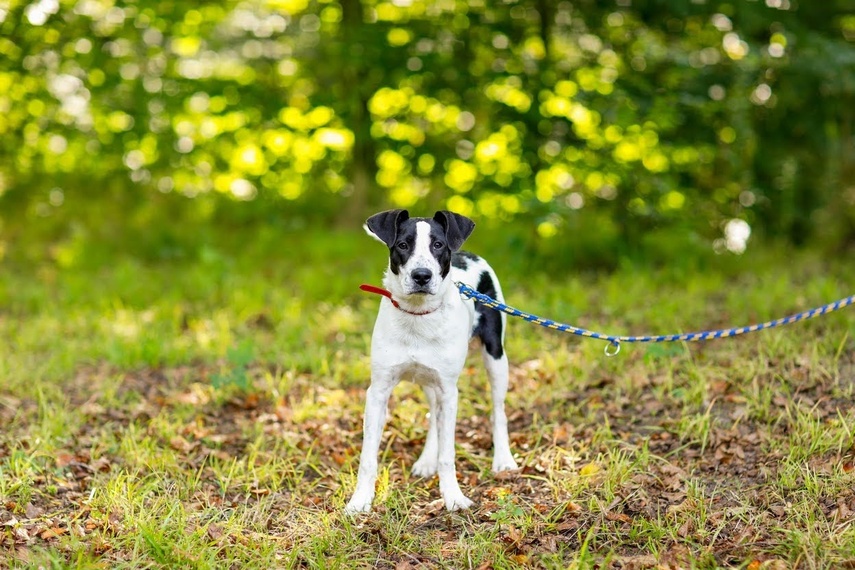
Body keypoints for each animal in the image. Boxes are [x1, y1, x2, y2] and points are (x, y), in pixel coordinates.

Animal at [344, 210, 520, 516]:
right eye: (403, 245)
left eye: (438, 245)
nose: (422, 276)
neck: (418, 317)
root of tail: (469, 254)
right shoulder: (378, 391)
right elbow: (368, 457)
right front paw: (360, 500)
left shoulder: (449, 391)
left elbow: (448, 454)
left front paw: (453, 497)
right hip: (429, 380)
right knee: (434, 419)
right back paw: (427, 459)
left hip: (496, 358)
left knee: (498, 412)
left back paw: (503, 459)